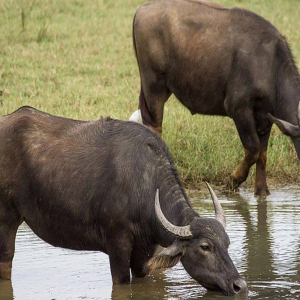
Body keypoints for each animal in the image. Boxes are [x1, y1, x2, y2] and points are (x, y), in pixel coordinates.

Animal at [0, 107, 246, 296]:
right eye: (205, 246)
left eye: (227, 243)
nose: (239, 286)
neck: (145, 185)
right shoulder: (117, 245)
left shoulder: (144, 251)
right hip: (7, 218)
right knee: (6, 260)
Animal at [131, 0, 300, 196]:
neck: (271, 67)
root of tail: (143, 8)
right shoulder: (238, 108)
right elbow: (253, 149)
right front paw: (232, 182)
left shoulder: (265, 118)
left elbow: (262, 155)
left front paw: (262, 191)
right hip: (154, 85)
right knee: (155, 126)